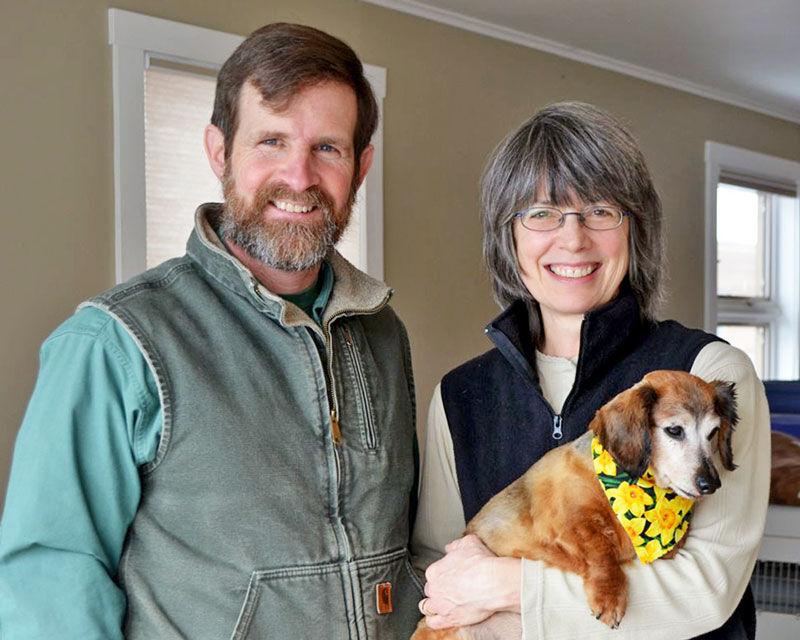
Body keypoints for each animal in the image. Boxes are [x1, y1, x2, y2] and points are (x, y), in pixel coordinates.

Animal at [412, 370, 736, 640]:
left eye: (712, 432)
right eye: (674, 430)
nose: (711, 484)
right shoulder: (566, 523)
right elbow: (599, 549)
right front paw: (609, 595)